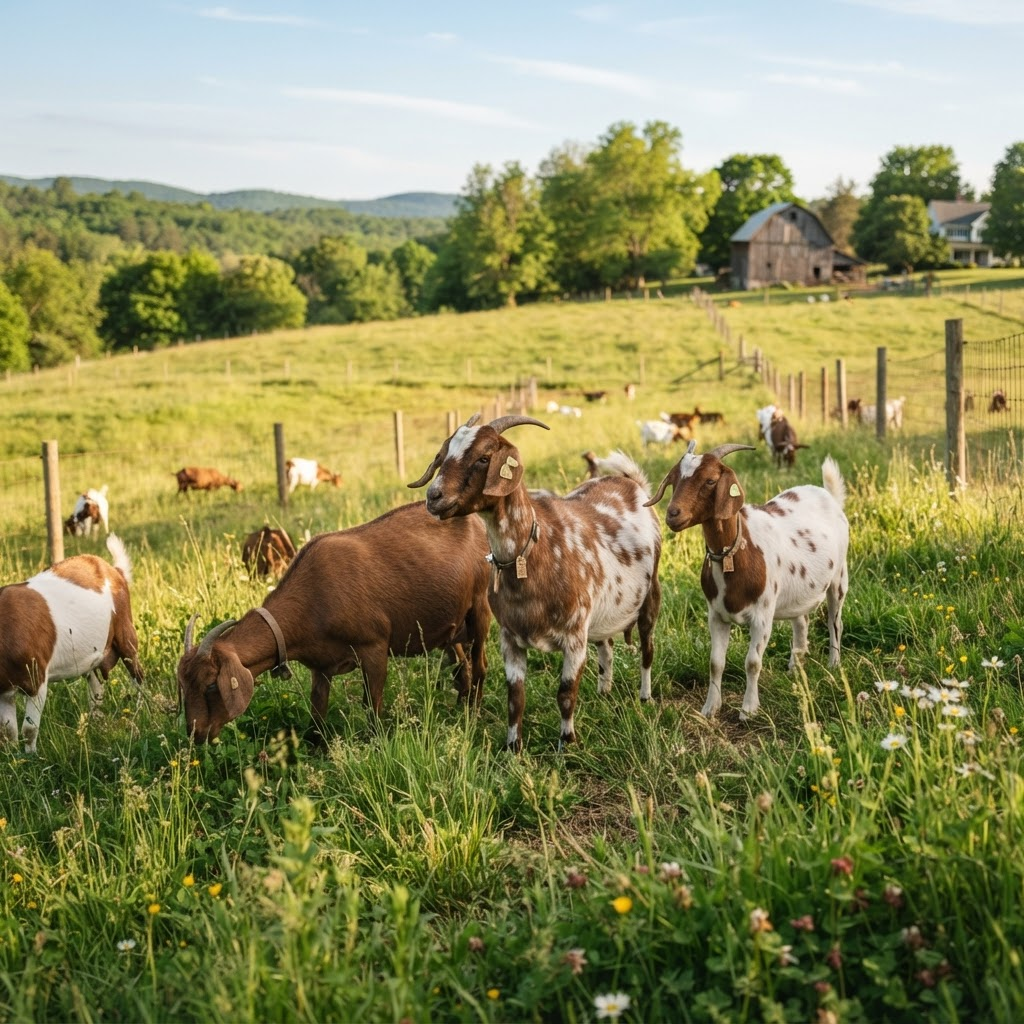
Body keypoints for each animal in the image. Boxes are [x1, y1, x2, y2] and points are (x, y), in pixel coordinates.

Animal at [0, 534, 143, 753]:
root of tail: (113, 570)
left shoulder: (36, 679)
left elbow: (29, 729)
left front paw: (31, 757)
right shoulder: (3, 690)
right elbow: (8, 732)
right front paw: (13, 757)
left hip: (126, 632)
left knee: (137, 673)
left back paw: (141, 711)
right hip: (93, 656)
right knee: (96, 690)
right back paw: (96, 724)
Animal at [177, 502, 492, 744]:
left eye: (211, 685)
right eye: (182, 685)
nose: (196, 734)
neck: (314, 595)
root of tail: (477, 522)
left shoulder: (375, 647)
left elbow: (372, 706)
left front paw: (377, 745)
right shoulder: (321, 667)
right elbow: (317, 715)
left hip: (480, 606)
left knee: (480, 665)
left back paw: (473, 715)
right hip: (451, 626)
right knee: (461, 667)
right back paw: (460, 707)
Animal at [410, 414, 662, 752]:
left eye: (484, 457)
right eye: (444, 455)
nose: (433, 497)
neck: (536, 552)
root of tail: (632, 482)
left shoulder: (574, 638)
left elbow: (566, 694)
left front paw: (567, 744)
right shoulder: (509, 638)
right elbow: (515, 698)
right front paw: (512, 748)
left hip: (650, 595)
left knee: (647, 648)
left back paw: (645, 697)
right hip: (603, 612)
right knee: (606, 647)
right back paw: (603, 692)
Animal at [646, 441, 848, 721]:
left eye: (710, 480)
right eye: (674, 479)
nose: (673, 514)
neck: (735, 553)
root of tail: (828, 495)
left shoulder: (762, 616)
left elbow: (752, 662)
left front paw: (749, 709)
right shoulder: (716, 615)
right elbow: (715, 663)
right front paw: (710, 708)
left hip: (839, 577)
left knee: (834, 622)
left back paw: (833, 664)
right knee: (801, 622)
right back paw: (795, 667)